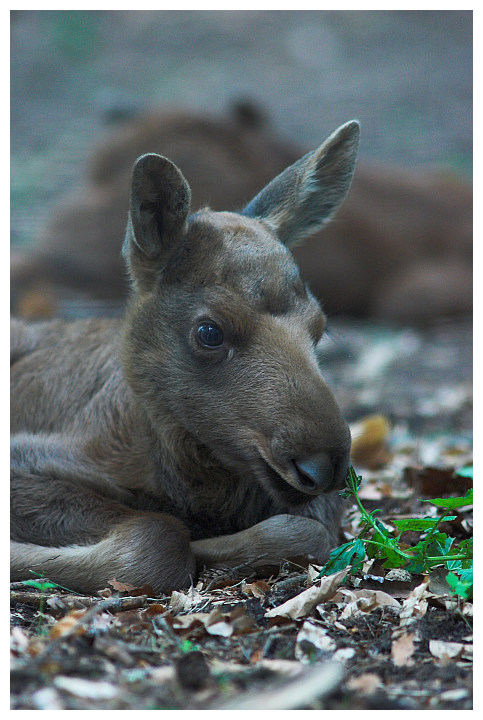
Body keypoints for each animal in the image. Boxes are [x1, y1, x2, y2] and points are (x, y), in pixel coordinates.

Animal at [10, 121, 360, 592]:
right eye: (209, 332)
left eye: (320, 328)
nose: (323, 463)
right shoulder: (26, 457)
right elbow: (161, 536)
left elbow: (309, 531)